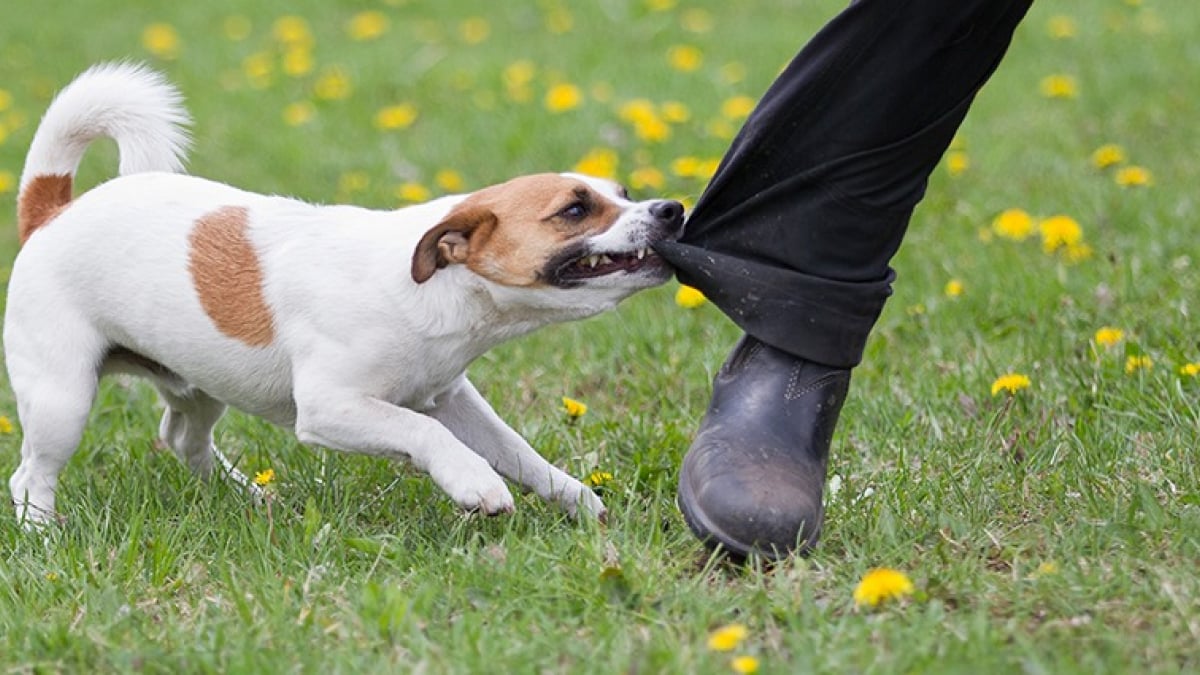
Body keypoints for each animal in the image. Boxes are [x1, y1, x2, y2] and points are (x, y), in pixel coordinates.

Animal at [7, 63, 686, 523]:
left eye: (623, 192)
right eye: (575, 209)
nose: (671, 209)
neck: (430, 292)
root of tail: (51, 211)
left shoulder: (452, 399)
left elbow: (517, 451)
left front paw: (577, 499)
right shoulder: (333, 408)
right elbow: (423, 433)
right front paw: (473, 482)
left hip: (199, 384)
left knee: (182, 440)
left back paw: (249, 497)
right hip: (62, 400)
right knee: (29, 476)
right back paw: (44, 536)